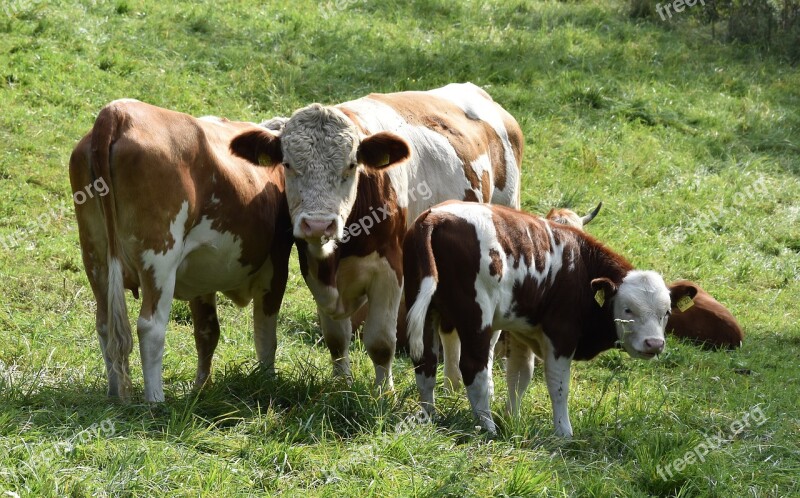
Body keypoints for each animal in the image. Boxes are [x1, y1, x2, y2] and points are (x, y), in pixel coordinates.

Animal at [69, 100, 290, 400]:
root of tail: (118, 110)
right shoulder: (276, 266)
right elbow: (266, 334)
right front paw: (267, 383)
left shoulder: (201, 276)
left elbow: (207, 332)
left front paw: (201, 388)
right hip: (160, 256)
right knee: (150, 326)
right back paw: (155, 400)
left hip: (95, 254)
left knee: (105, 325)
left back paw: (116, 395)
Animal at [230, 83, 524, 392]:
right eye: (287, 164)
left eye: (351, 165)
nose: (319, 224)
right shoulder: (314, 268)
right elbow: (336, 337)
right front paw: (342, 384)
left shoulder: (389, 270)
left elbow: (381, 342)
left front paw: (384, 393)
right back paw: (453, 385)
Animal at [404, 201, 696, 436]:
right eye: (628, 310)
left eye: (666, 312)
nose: (654, 344)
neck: (580, 267)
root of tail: (436, 216)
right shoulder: (561, 336)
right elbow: (558, 385)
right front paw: (563, 432)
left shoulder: (521, 332)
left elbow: (519, 376)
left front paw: (513, 419)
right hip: (477, 320)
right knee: (473, 368)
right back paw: (487, 426)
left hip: (425, 311)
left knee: (426, 362)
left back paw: (429, 415)